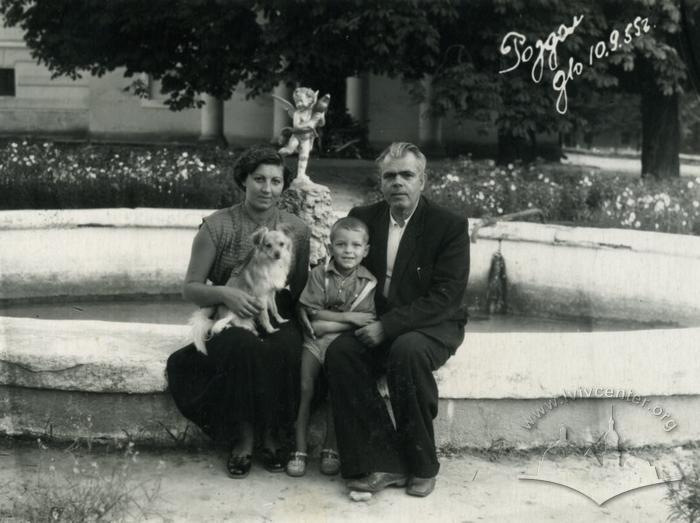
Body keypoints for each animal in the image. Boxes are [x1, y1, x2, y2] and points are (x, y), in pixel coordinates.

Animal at [189, 226, 292, 356]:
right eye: (268, 245)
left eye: (281, 244)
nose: (277, 254)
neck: (271, 264)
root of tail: (216, 318)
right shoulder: (261, 298)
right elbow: (265, 316)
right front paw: (271, 330)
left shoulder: (270, 294)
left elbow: (274, 309)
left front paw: (281, 320)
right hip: (232, 314)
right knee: (225, 325)